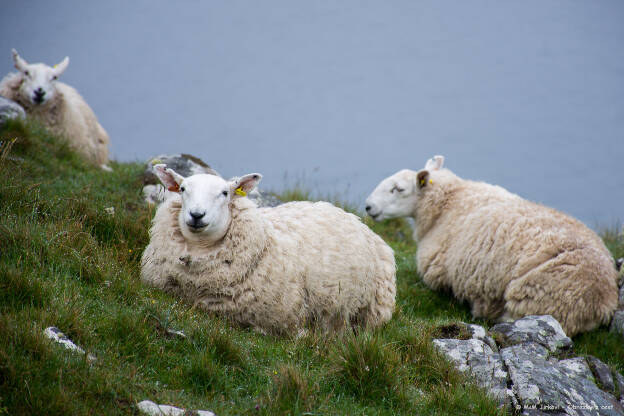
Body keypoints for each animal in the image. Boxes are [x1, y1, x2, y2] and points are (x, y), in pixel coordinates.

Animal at [366, 154, 620, 336]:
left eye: (398, 189)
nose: (368, 206)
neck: (450, 201)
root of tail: (603, 301)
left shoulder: (435, 272)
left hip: (539, 299)